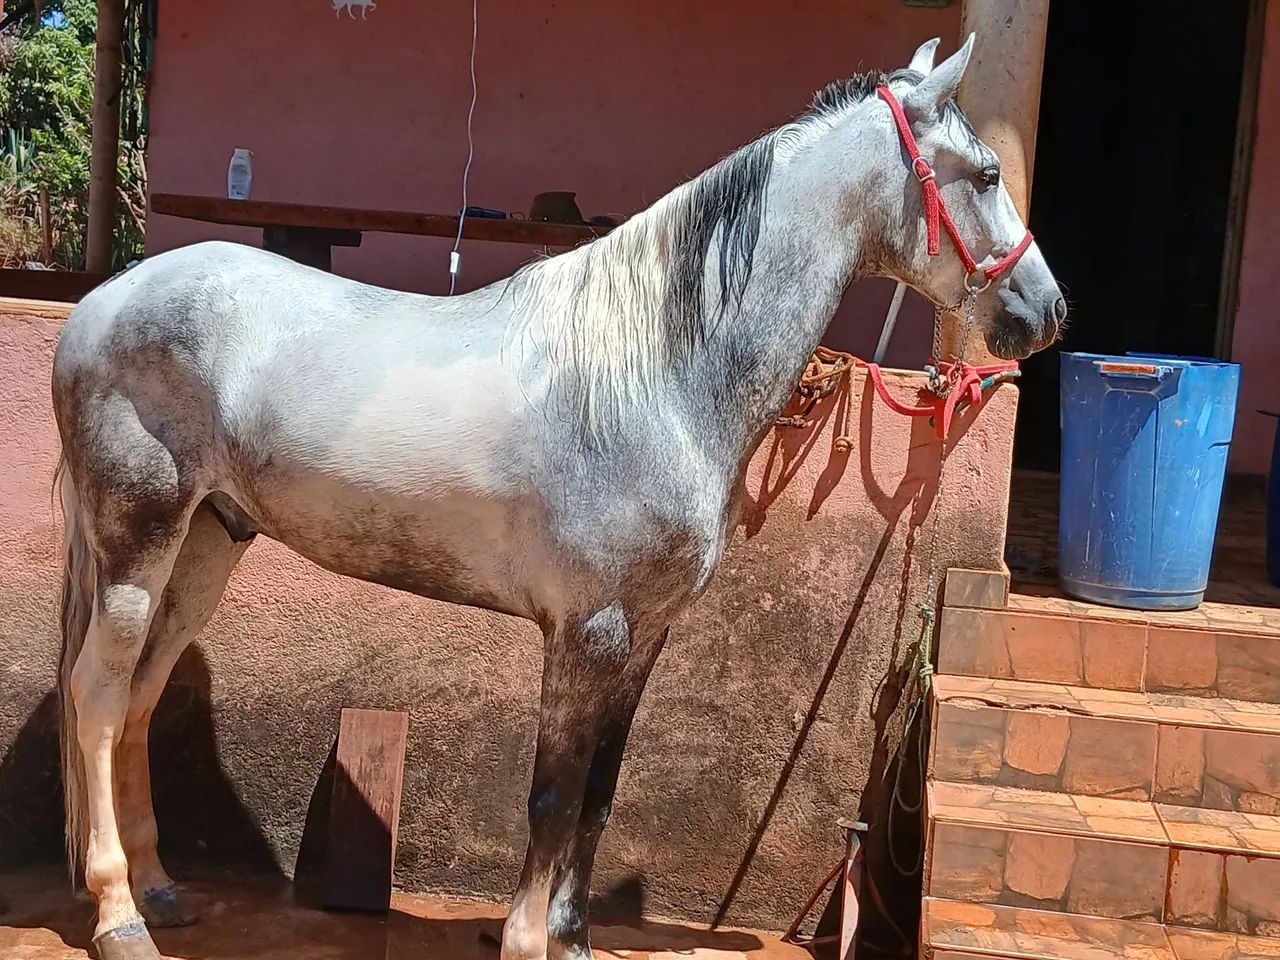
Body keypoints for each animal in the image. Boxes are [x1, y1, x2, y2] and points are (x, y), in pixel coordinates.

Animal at [52, 35, 1062, 960]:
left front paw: (572, 937)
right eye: (984, 175)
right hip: (138, 540)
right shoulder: (588, 632)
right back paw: (119, 917)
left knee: (140, 696)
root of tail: (101, 303)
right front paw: (527, 939)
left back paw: (161, 888)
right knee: (96, 696)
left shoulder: (647, 635)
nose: (1045, 313)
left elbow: (600, 793)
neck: (651, 376)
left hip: (205, 546)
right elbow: (551, 794)